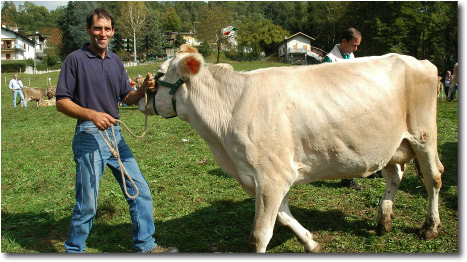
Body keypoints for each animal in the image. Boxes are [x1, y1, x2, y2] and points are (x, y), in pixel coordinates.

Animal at [140, 44, 446, 252]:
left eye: (160, 73)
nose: (140, 98)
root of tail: (416, 60)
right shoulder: (262, 178)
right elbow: (284, 216)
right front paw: (310, 242)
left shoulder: (272, 176)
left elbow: (260, 234)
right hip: (393, 144)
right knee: (395, 177)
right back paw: (384, 221)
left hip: (423, 136)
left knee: (433, 178)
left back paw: (430, 228)